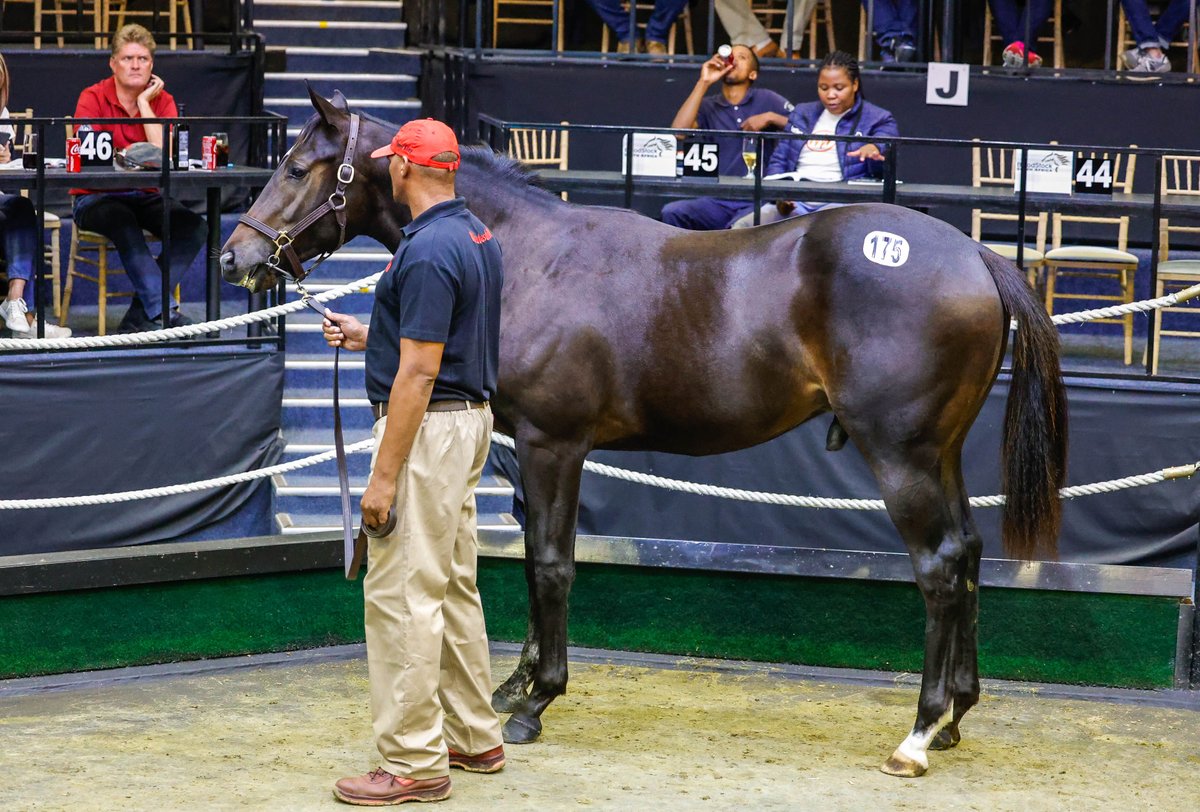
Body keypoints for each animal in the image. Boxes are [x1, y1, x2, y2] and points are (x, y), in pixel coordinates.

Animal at [220, 91, 1065, 777]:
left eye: (297, 166)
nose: (238, 255)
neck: (527, 258)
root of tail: (974, 254)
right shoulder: (525, 452)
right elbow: (531, 558)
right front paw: (517, 683)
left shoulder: (554, 446)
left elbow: (553, 564)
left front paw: (537, 703)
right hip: (940, 454)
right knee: (969, 553)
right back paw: (955, 716)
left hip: (900, 457)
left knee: (938, 567)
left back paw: (917, 734)